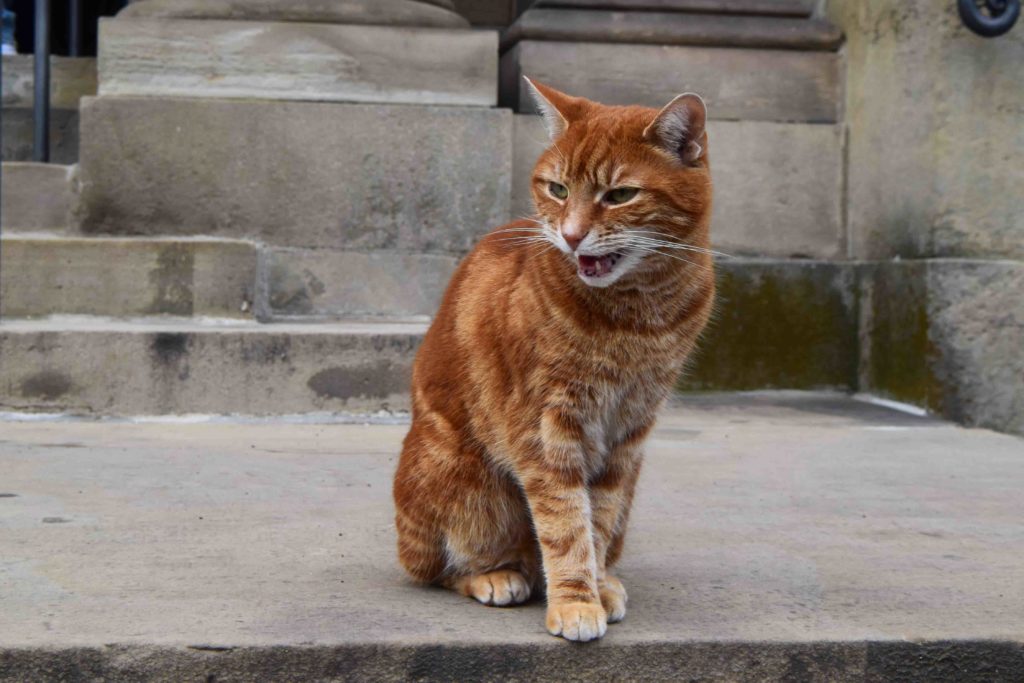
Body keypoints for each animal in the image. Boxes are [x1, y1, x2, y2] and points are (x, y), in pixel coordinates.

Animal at [389, 80, 712, 643]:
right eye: (558, 189)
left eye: (620, 195)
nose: (572, 234)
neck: (637, 317)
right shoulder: (547, 427)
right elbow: (565, 524)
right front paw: (576, 602)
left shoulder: (629, 432)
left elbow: (595, 521)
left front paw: (596, 586)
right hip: (462, 481)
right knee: (437, 568)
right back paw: (497, 576)